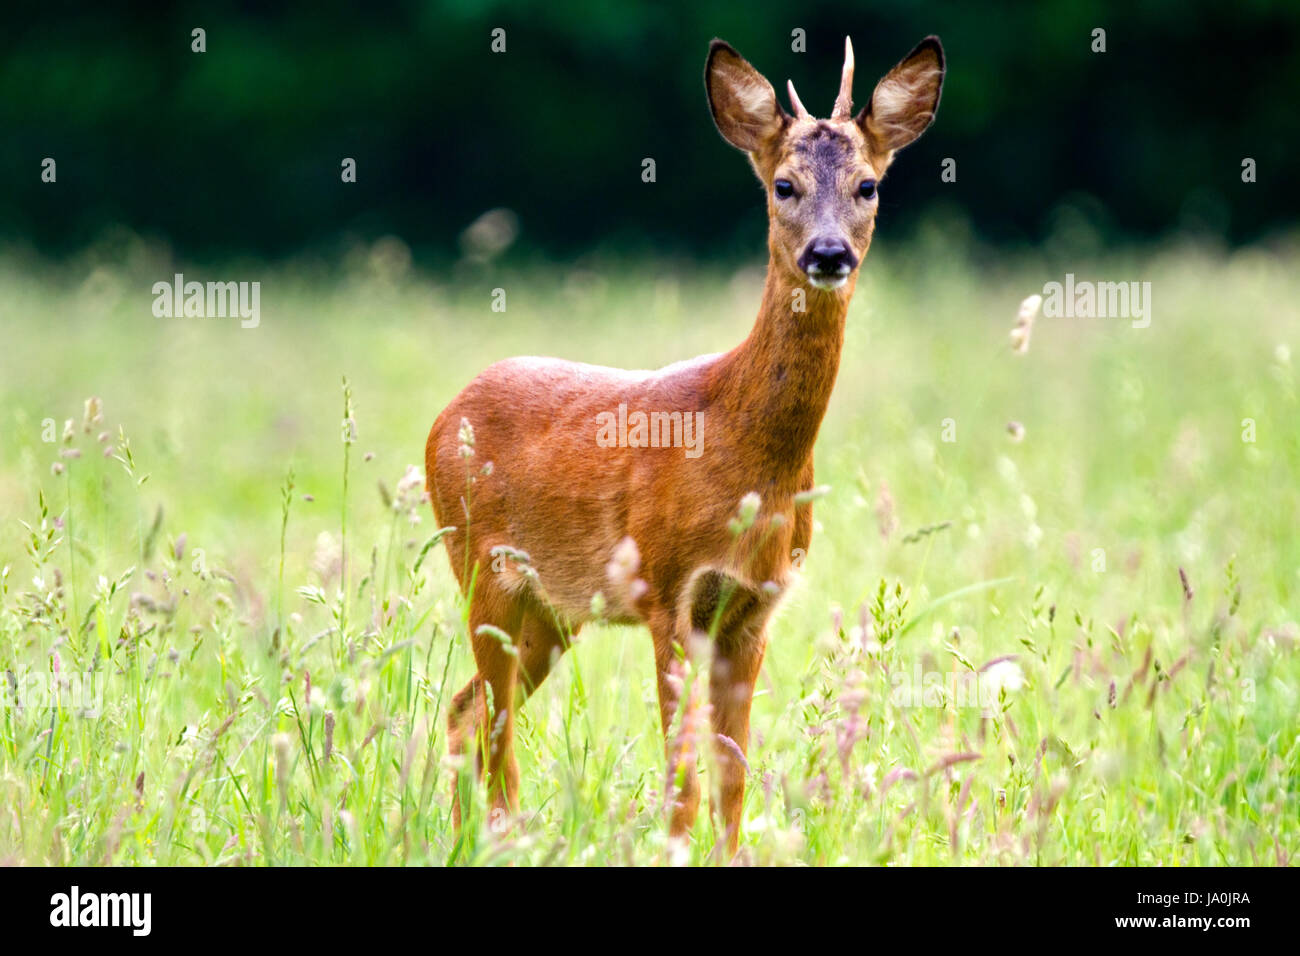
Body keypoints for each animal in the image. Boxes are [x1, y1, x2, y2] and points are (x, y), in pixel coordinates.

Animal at [426, 33, 946, 858]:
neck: (744, 451)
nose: (829, 254)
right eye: (784, 185)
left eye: (868, 186)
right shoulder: (667, 590)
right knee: (495, 729)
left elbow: (733, 776)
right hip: (484, 568)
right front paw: (672, 850)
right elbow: (684, 776)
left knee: (465, 710)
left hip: (552, 612)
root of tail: (446, 412)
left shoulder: (753, 609)